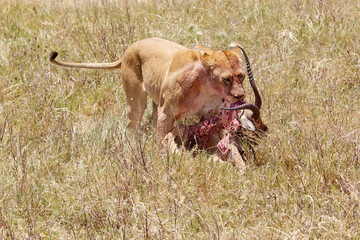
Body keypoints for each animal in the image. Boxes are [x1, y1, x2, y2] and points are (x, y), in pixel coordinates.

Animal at [49, 37, 266, 149]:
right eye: (226, 78)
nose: (240, 96)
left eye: (241, 76)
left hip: (154, 102)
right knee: (132, 126)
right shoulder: (166, 113)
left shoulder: (208, 115)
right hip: (136, 103)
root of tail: (130, 48)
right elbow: (162, 141)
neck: (206, 87)